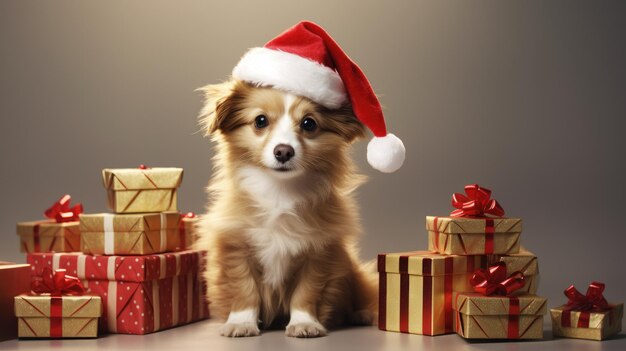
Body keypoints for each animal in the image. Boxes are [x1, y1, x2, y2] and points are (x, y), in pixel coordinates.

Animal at [196, 80, 376, 338]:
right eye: (260, 121)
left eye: (309, 123)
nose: (283, 151)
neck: (279, 193)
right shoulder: (236, 250)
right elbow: (244, 289)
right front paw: (241, 323)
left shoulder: (318, 253)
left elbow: (306, 293)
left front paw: (304, 323)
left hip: (355, 275)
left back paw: (362, 313)